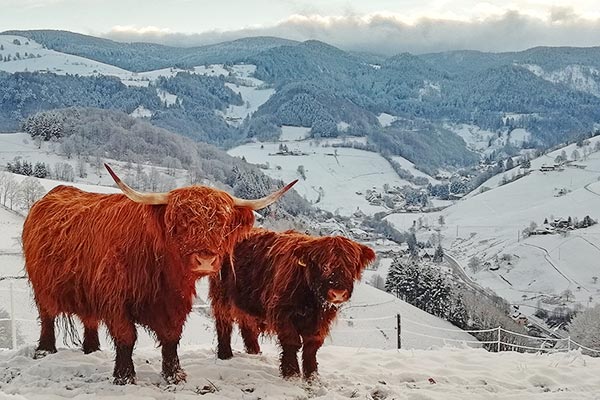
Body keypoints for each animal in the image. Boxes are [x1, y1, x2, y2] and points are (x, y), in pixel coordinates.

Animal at [22, 163, 296, 384]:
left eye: (222, 223)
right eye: (181, 222)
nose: (206, 259)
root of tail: (53, 194)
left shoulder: (174, 301)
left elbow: (171, 337)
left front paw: (174, 374)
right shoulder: (115, 300)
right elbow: (126, 337)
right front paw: (124, 377)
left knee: (89, 319)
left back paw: (92, 349)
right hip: (42, 287)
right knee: (46, 316)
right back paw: (45, 350)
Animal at [209, 230, 372, 380]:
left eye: (351, 267)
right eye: (324, 266)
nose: (338, 293)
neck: (312, 300)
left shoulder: (321, 321)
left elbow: (311, 347)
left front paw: (312, 376)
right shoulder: (282, 312)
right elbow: (291, 341)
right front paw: (291, 373)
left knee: (248, 326)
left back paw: (255, 353)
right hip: (221, 295)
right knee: (223, 323)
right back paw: (225, 354)